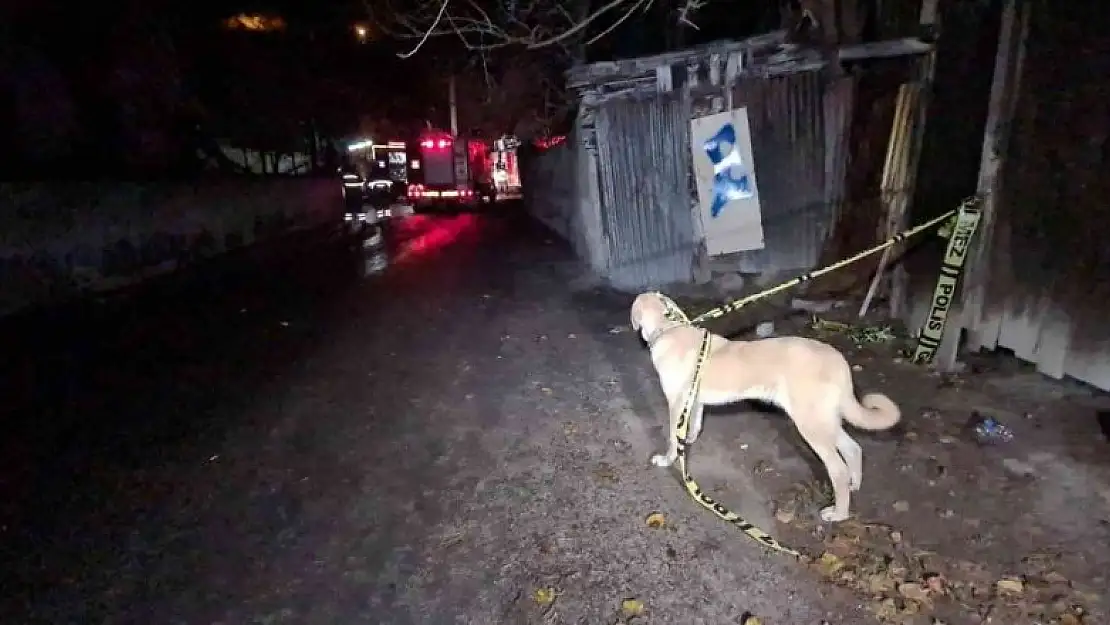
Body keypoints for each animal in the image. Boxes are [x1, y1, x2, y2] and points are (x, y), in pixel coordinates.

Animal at [630, 293, 896, 523]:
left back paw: (838, 514)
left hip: (810, 425)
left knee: (838, 469)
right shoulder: (694, 401)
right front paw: (687, 441)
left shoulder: (676, 403)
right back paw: (854, 485)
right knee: (854, 449)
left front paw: (668, 459)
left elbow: (672, 439)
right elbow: (692, 426)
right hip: (825, 422)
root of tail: (838, 360)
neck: (668, 327)